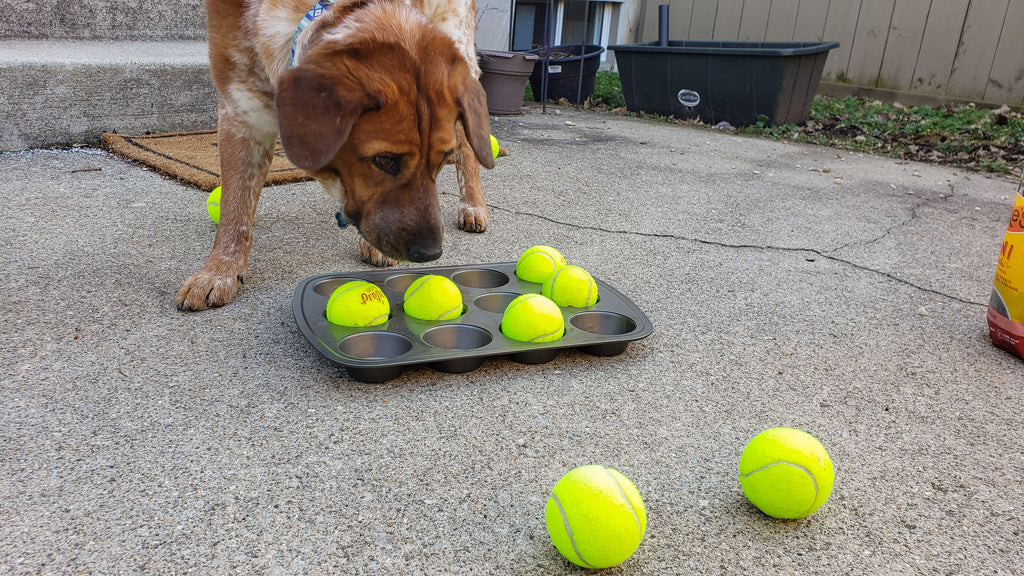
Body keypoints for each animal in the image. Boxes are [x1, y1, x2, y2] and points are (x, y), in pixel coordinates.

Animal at [176, 0, 495, 309]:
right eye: (384, 160)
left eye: (441, 159)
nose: (430, 253)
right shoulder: (240, 109)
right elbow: (235, 209)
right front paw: (217, 273)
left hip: (460, 45)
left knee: (469, 143)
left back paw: (472, 206)